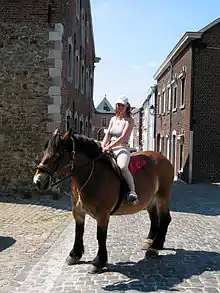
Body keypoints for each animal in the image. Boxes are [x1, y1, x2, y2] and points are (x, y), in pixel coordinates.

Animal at [33, 129, 174, 272]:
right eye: (44, 152)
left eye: (56, 156)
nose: (38, 181)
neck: (92, 176)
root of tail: (163, 158)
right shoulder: (77, 212)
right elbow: (79, 231)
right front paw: (74, 254)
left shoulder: (102, 214)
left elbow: (100, 236)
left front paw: (98, 261)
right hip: (150, 201)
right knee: (154, 218)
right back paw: (150, 241)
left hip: (162, 197)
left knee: (165, 219)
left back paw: (155, 246)